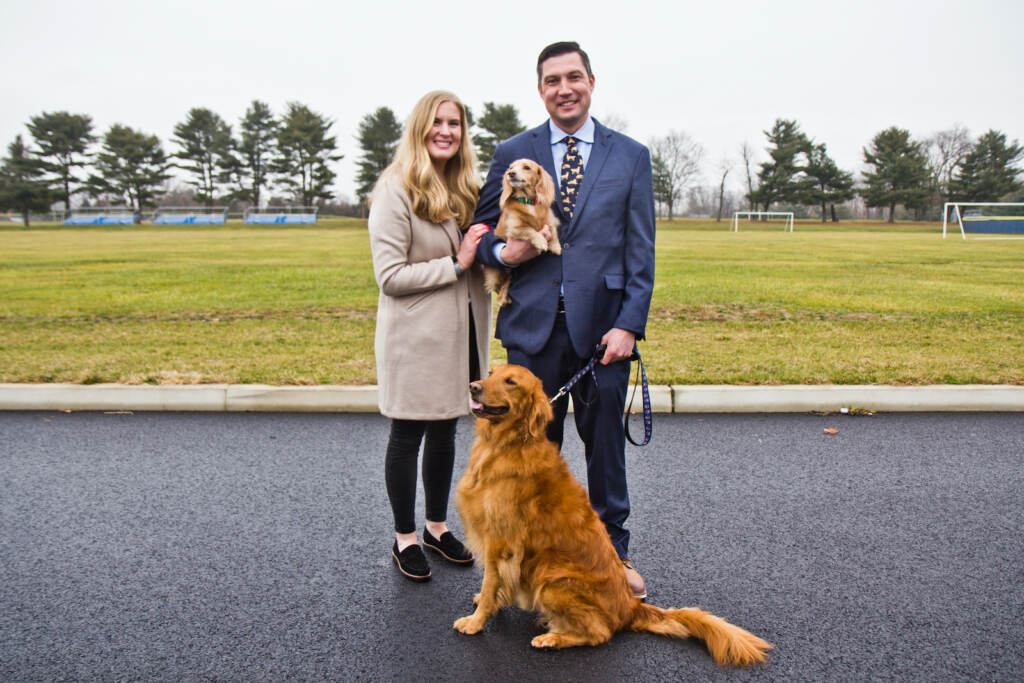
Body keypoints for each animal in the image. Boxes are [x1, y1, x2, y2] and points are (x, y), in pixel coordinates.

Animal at [452, 366, 770, 663]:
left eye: (511, 382)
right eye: (491, 373)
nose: (472, 386)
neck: (504, 445)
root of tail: (630, 608)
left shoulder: (500, 541)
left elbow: (490, 582)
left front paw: (476, 622)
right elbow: (495, 584)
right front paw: (493, 602)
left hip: (553, 579)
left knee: (600, 633)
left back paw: (552, 638)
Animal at [481, 160, 561, 305]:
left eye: (527, 167)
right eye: (510, 168)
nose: (511, 174)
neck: (528, 201)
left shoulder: (550, 219)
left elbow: (552, 230)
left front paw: (556, 246)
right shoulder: (514, 228)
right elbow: (529, 230)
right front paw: (541, 242)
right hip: (496, 275)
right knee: (501, 283)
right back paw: (501, 298)